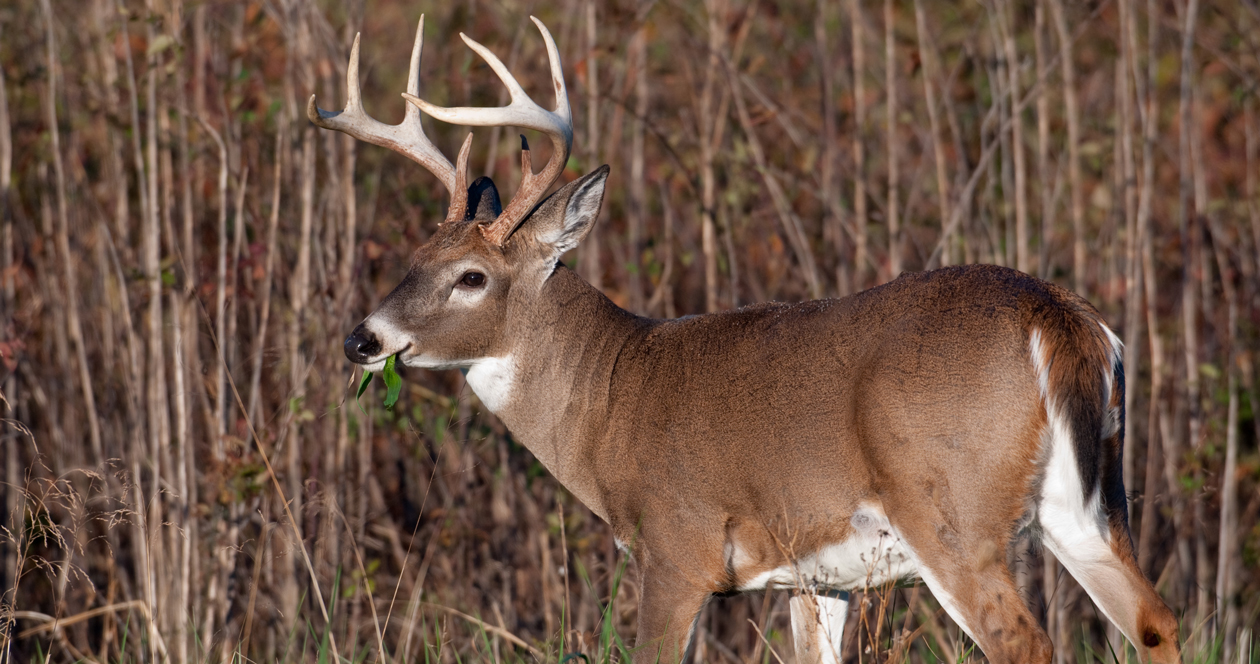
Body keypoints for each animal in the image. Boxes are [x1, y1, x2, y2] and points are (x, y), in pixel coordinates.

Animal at [307, 15, 1179, 664]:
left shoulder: (677, 548)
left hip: (953, 512)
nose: (362, 339)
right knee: (1156, 623)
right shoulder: (817, 578)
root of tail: (1056, 317)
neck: (609, 398)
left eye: (471, 277)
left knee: (1027, 643)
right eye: (412, 256)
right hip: (1089, 503)